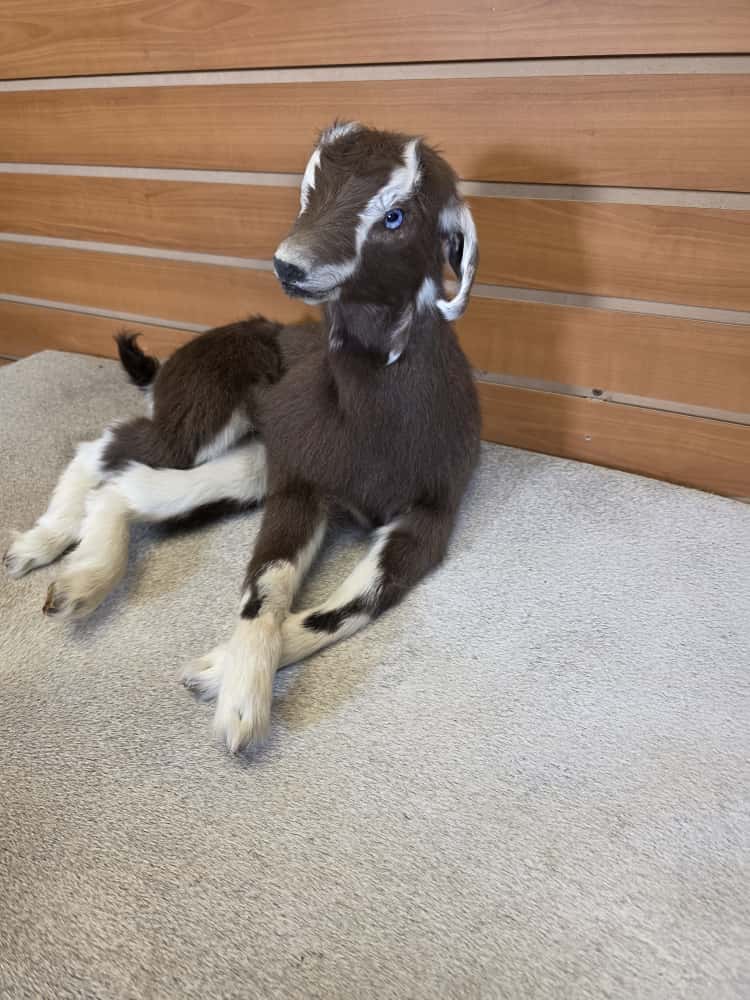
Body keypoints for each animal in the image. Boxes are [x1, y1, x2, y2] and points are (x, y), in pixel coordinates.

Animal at [4, 123, 481, 753]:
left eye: (396, 214)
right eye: (309, 190)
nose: (290, 266)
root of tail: (170, 364)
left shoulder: (428, 518)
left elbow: (351, 607)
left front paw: (214, 671)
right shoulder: (300, 485)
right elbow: (268, 585)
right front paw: (242, 707)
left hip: (251, 461)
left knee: (129, 486)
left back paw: (80, 580)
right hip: (200, 421)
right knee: (105, 449)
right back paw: (45, 547)